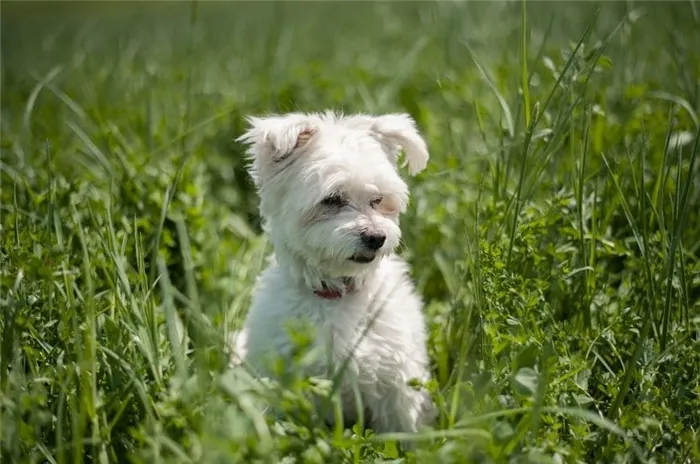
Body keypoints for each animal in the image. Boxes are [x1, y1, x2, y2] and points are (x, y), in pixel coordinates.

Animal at [230, 109, 438, 438]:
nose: (376, 237)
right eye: (332, 199)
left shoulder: (397, 387)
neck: (339, 293)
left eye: (378, 200)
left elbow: (403, 432)